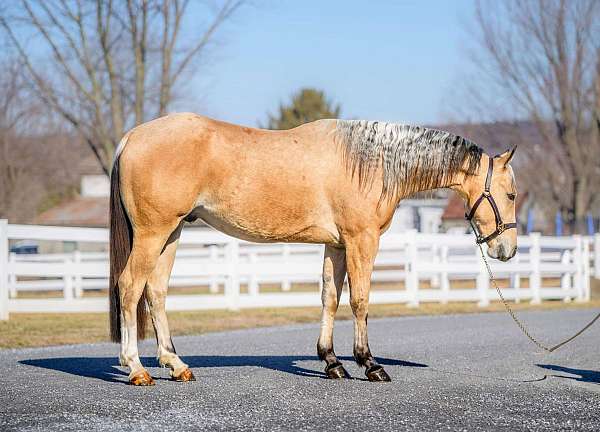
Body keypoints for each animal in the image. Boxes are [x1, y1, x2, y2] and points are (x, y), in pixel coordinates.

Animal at [110, 114, 516, 384]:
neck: (369, 163)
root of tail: (130, 136)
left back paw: (176, 365)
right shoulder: (361, 240)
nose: (507, 250)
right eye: (511, 194)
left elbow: (330, 299)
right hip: (153, 234)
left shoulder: (335, 245)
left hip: (172, 234)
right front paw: (370, 364)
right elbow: (360, 300)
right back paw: (137, 368)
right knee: (129, 287)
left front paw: (332, 362)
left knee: (156, 291)